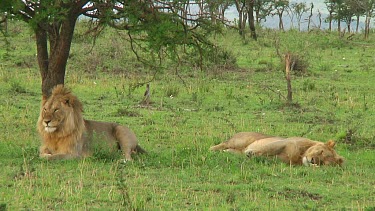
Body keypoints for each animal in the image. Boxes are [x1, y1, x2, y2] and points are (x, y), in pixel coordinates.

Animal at [210, 132, 346, 166]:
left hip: (235, 150)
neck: (301, 155)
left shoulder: (283, 160)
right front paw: (250, 152)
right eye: (321, 151)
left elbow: (267, 158)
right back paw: (211, 150)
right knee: (220, 145)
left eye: (323, 163)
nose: (312, 161)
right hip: (238, 140)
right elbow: (267, 149)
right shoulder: (284, 142)